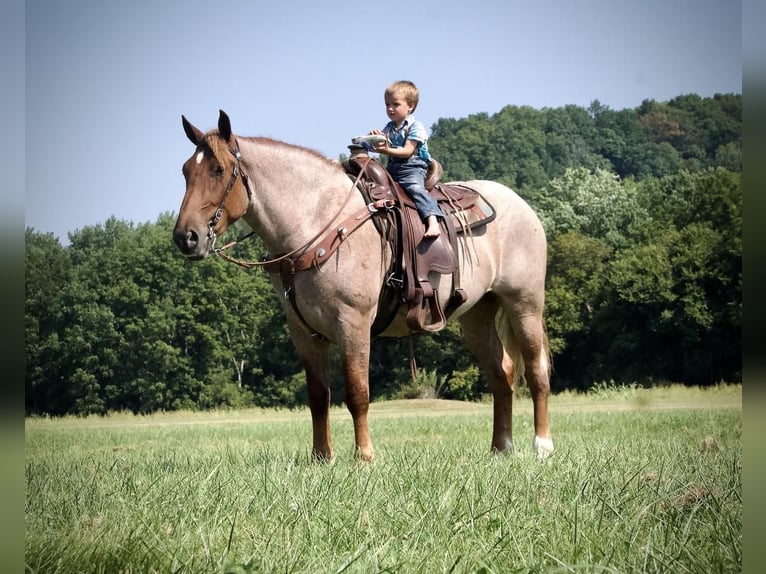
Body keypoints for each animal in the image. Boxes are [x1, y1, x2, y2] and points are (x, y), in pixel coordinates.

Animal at [176, 111, 552, 464]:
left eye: (219, 170)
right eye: (185, 171)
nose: (185, 237)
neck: (318, 222)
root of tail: (521, 205)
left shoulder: (353, 323)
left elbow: (358, 394)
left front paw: (364, 457)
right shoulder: (304, 333)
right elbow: (318, 397)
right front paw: (321, 458)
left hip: (524, 304)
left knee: (536, 371)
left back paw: (542, 446)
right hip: (476, 314)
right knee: (502, 376)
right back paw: (501, 448)